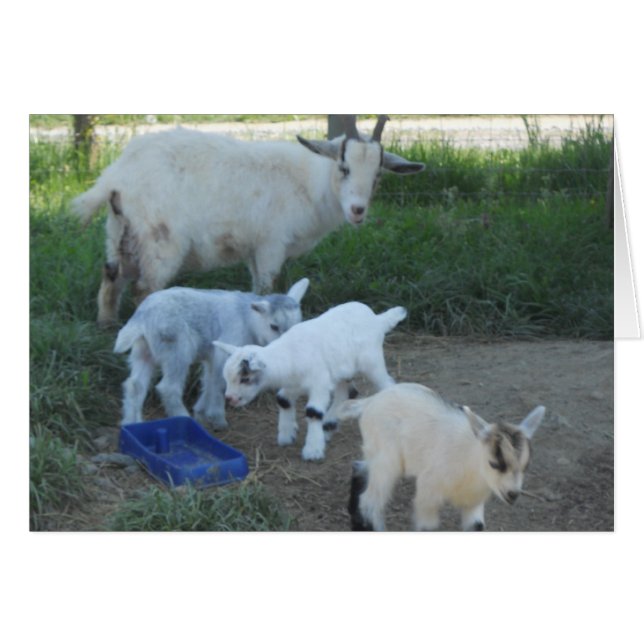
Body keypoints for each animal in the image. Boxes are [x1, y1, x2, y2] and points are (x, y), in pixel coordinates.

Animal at [71, 116, 425, 325]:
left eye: (378, 174)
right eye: (344, 167)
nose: (358, 210)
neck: (310, 181)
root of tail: (116, 176)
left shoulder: (255, 250)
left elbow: (257, 289)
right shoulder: (271, 244)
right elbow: (267, 287)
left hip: (121, 232)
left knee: (111, 276)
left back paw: (108, 326)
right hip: (159, 241)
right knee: (144, 289)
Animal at [114, 278, 309, 427]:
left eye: (297, 324)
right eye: (273, 326)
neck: (249, 321)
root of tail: (142, 317)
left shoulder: (211, 356)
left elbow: (209, 380)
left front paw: (201, 412)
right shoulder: (225, 351)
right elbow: (219, 382)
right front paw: (217, 418)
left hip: (143, 350)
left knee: (134, 385)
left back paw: (131, 423)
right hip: (176, 349)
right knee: (168, 387)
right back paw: (183, 417)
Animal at [213, 302, 407, 461]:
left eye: (245, 378)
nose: (230, 399)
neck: (290, 355)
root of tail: (377, 319)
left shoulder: (319, 382)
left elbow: (313, 411)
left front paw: (312, 451)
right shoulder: (294, 384)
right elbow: (282, 400)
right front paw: (286, 436)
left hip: (371, 361)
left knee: (387, 385)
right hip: (342, 368)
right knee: (348, 392)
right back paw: (329, 425)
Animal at [339, 383, 545, 531]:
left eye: (526, 466)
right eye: (494, 463)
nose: (513, 494)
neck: (469, 462)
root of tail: (369, 401)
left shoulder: (473, 503)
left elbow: (476, 527)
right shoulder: (427, 494)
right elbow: (427, 528)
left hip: (376, 452)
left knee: (359, 467)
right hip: (388, 458)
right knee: (370, 501)